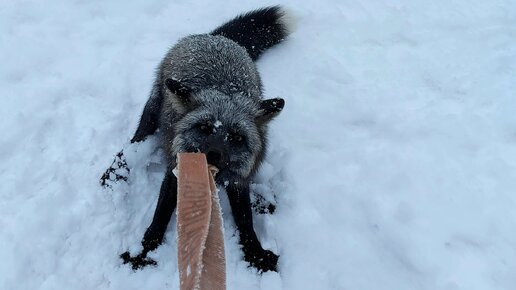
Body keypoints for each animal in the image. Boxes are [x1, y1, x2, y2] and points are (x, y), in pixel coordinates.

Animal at [119, 6, 292, 272]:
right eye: (204, 127)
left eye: (236, 137)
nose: (212, 154)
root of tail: (214, 37)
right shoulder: (175, 170)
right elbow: (160, 215)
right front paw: (144, 250)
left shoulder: (238, 178)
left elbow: (246, 220)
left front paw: (256, 254)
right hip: (151, 114)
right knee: (133, 145)